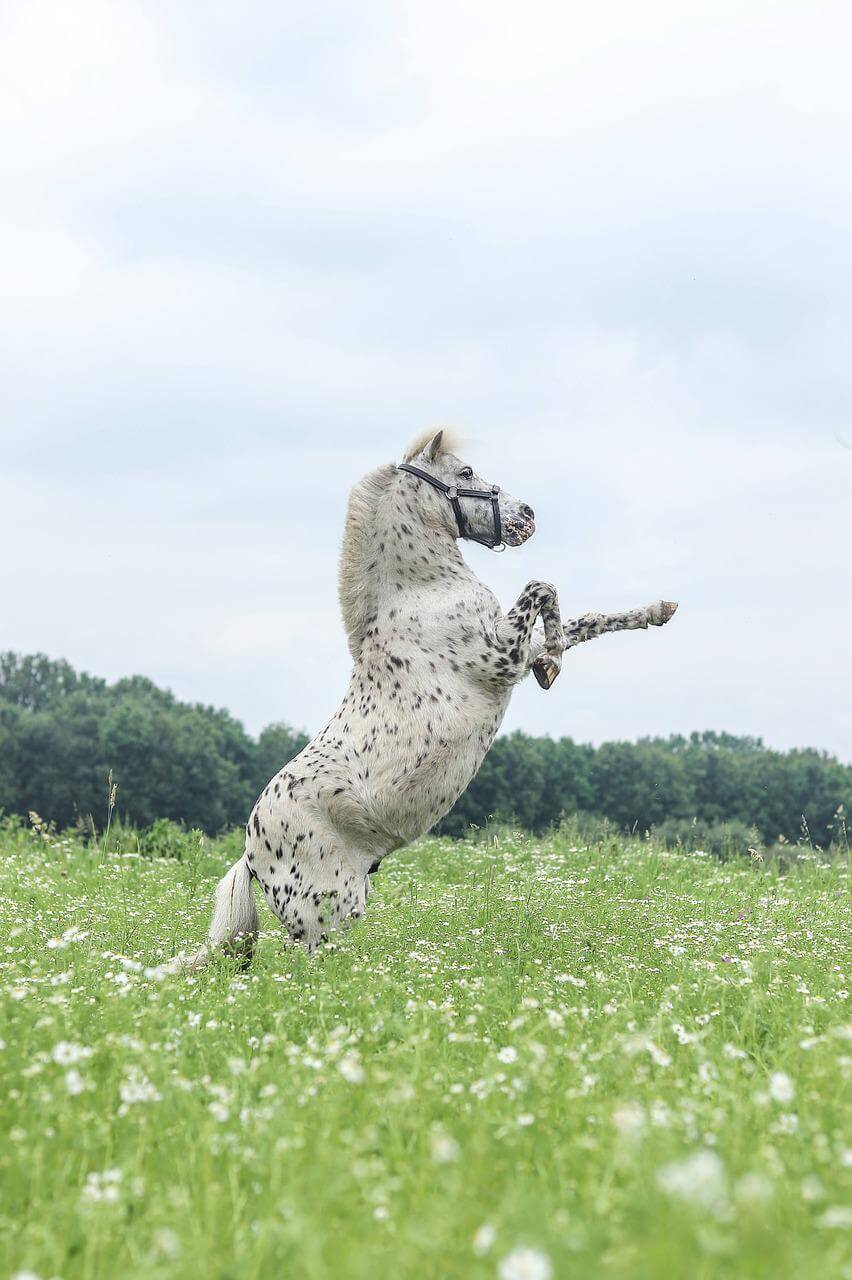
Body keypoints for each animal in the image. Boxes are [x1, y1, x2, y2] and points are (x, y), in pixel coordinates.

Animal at [181, 428, 677, 965]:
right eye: (465, 472)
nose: (528, 516)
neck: (422, 591)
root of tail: (250, 854)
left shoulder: (513, 654)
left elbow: (585, 619)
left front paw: (652, 613)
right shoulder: (501, 658)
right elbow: (542, 588)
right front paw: (555, 662)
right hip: (326, 913)